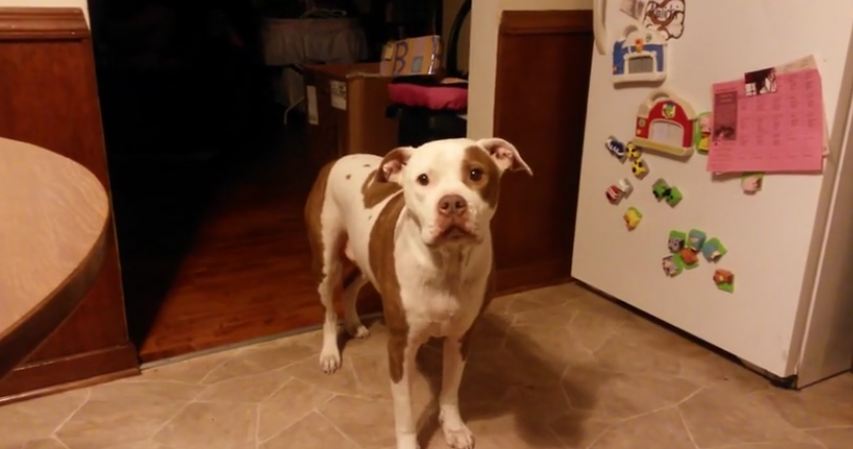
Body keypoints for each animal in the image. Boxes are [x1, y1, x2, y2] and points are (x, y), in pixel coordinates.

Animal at [306, 137, 528, 448]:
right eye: (423, 179)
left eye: (476, 173)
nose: (452, 203)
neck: (447, 263)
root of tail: (337, 160)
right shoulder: (400, 348)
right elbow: (405, 410)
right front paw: (410, 441)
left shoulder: (461, 337)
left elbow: (450, 389)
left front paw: (453, 427)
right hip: (327, 262)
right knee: (328, 308)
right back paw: (329, 353)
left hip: (367, 257)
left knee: (350, 287)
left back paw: (354, 324)